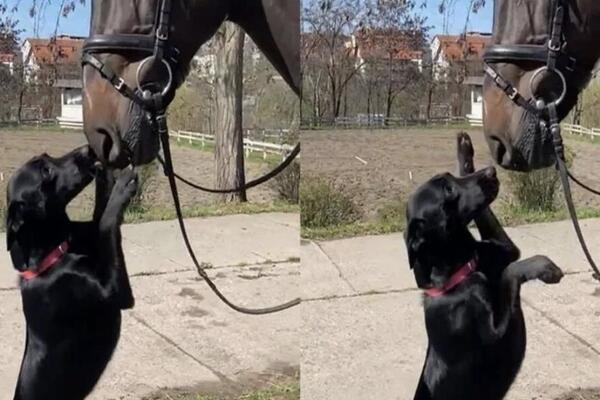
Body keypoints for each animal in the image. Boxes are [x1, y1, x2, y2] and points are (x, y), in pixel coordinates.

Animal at [5, 147, 137, 400]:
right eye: (46, 172)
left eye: (47, 157)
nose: (87, 150)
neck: (53, 254)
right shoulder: (115, 292)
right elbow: (106, 222)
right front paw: (122, 187)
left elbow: (100, 214)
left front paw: (105, 172)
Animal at [406, 134, 564, 400]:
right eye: (448, 191)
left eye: (450, 178)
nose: (491, 171)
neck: (460, 272)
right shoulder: (494, 333)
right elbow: (511, 272)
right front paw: (546, 267)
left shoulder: (504, 249)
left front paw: (464, 154)